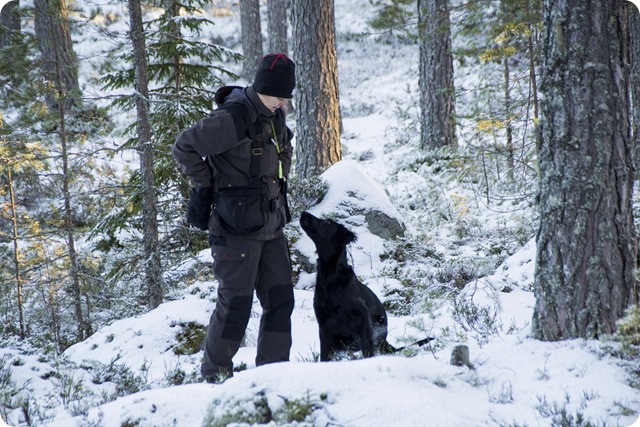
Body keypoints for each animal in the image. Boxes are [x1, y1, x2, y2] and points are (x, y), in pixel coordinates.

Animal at [300, 211, 390, 362]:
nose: (304, 213)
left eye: (327, 222)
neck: (331, 278)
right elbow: (324, 355)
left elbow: (367, 347)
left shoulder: (363, 318)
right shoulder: (324, 326)